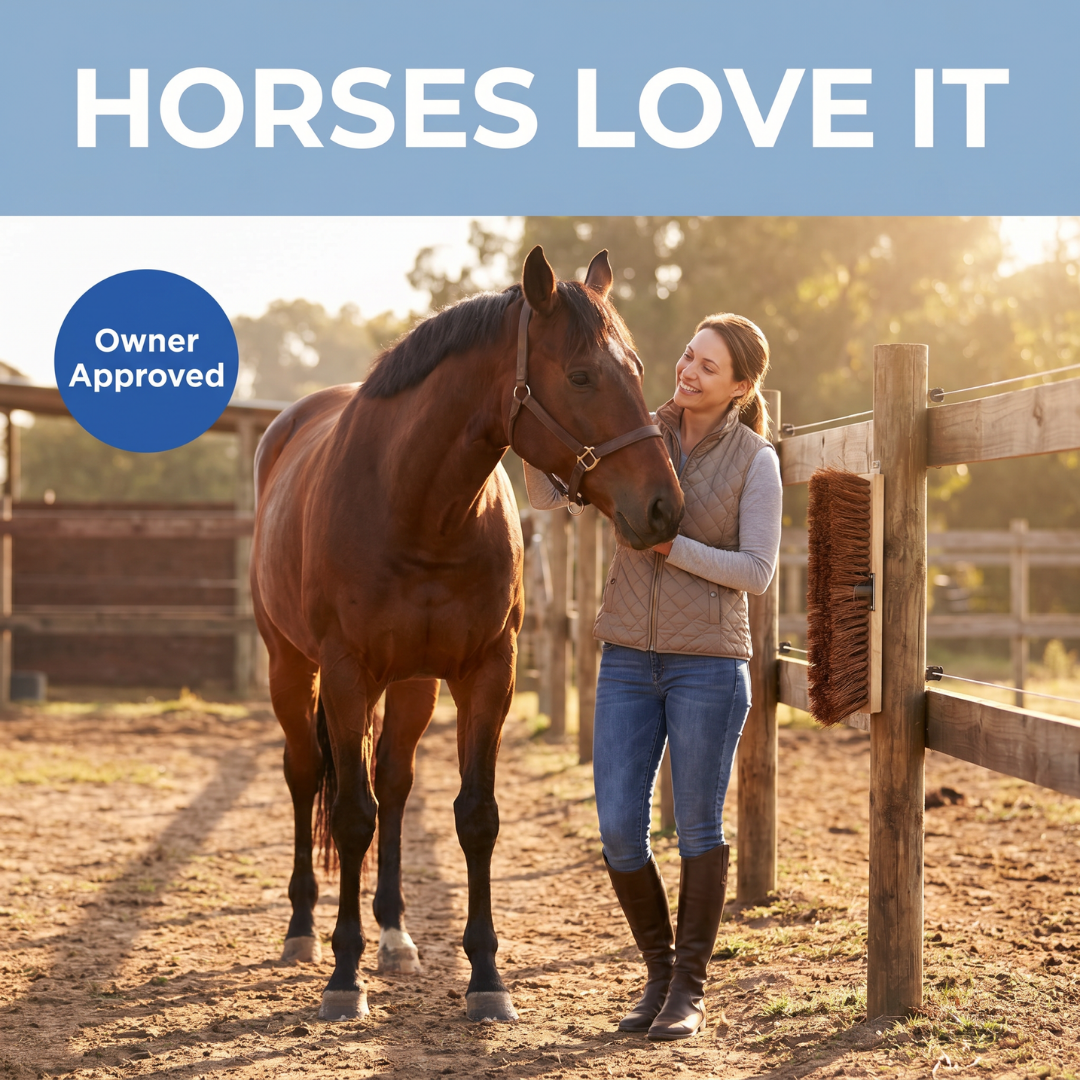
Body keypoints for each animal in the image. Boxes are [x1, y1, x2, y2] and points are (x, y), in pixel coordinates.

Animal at [250, 245, 684, 1023]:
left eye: (635, 369)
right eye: (581, 375)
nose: (665, 506)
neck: (420, 508)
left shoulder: (488, 673)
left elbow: (474, 816)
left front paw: (486, 978)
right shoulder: (346, 674)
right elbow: (350, 816)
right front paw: (344, 978)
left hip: (414, 684)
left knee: (394, 784)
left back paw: (395, 934)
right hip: (291, 668)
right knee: (306, 775)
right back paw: (303, 930)